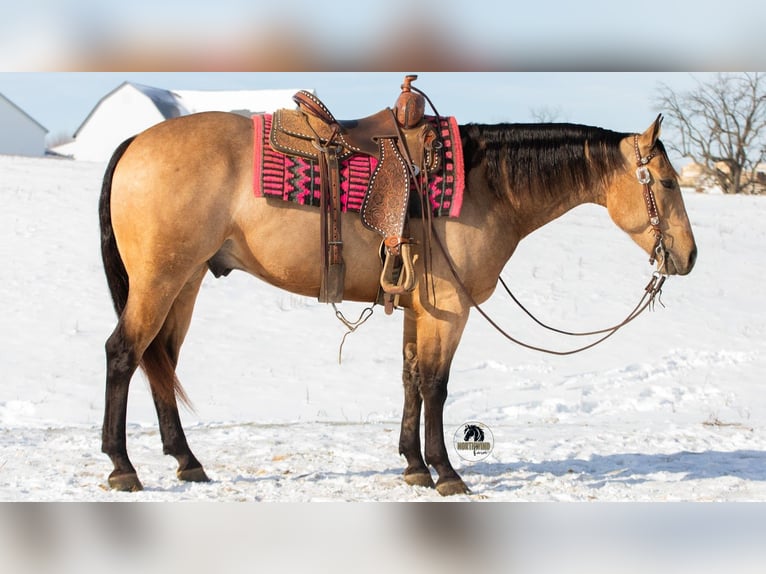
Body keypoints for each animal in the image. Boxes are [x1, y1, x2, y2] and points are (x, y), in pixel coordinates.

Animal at [99, 109, 697, 496]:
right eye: (667, 182)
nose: (688, 256)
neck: (485, 187)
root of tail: (136, 141)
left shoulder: (418, 308)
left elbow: (410, 378)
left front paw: (413, 465)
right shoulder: (448, 308)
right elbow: (436, 384)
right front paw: (446, 473)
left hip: (185, 282)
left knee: (160, 361)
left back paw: (187, 461)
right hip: (159, 280)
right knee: (123, 354)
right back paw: (123, 467)